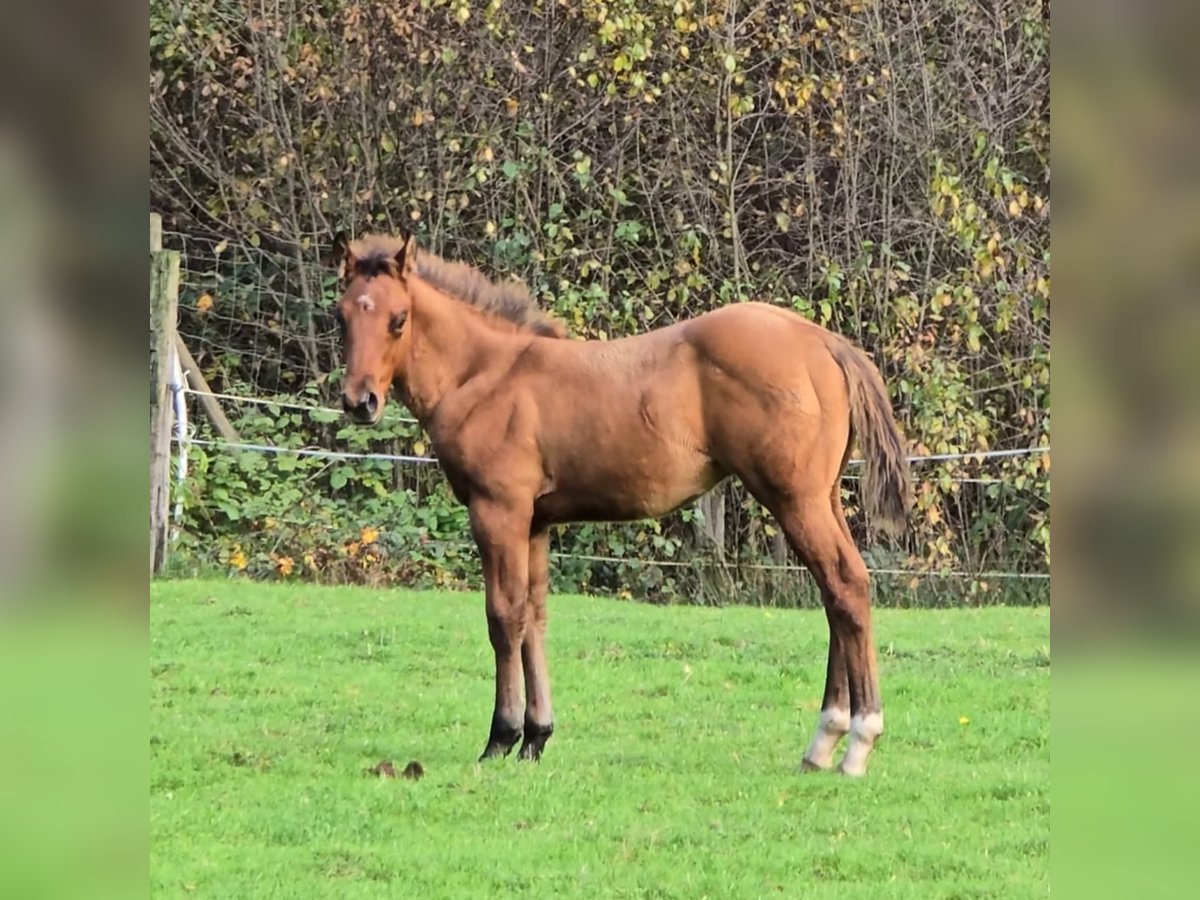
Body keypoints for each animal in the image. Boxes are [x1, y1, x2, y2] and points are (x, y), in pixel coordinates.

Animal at [328, 230, 907, 777]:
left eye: (399, 319)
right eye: (342, 316)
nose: (360, 402)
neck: (484, 374)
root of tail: (823, 341)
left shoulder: (498, 511)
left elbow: (504, 617)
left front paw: (501, 737)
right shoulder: (536, 522)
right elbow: (535, 615)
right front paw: (536, 738)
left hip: (794, 498)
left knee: (845, 585)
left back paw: (857, 741)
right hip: (822, 497)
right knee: (835, 595)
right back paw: (823, 743)